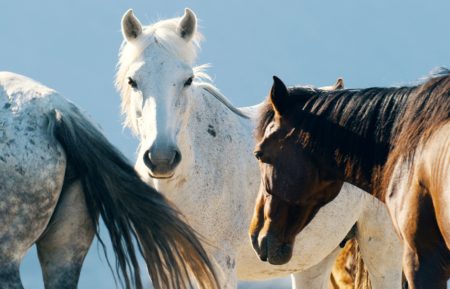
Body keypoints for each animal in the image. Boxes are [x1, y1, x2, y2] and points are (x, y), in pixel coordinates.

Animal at [116, 9, 404, 288]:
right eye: (133, 81)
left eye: (188, 79)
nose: (162, 158)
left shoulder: (219, 266)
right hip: (314, 259)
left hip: (382, 249)